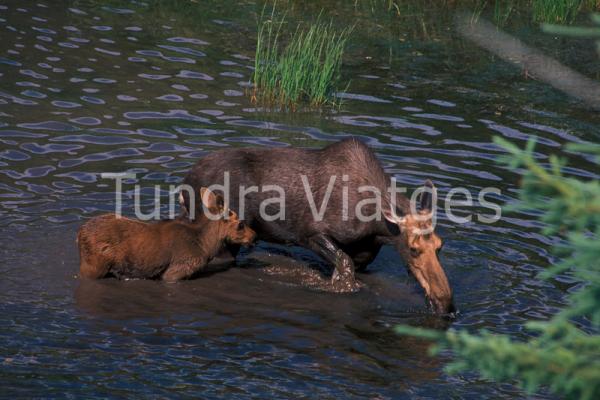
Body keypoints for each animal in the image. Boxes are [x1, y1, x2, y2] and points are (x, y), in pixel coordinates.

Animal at [182, 138, 454, 316]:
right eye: (413, 249)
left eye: (440, 246)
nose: (446, 302)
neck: (375, 226)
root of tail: (184, 182)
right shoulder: (310, 233)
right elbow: (344, 267)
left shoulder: (364, 257)